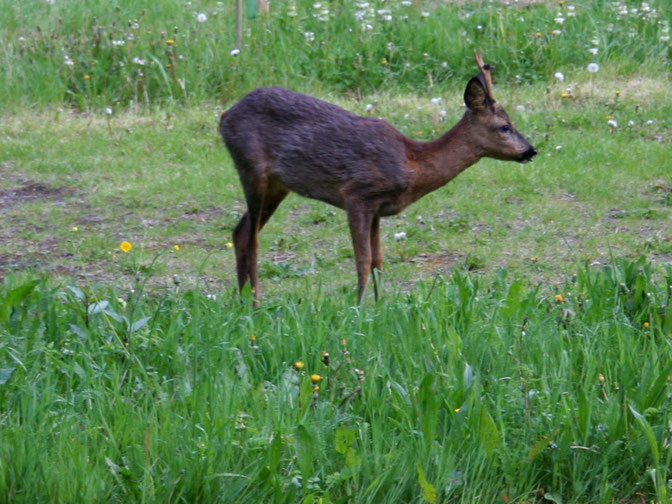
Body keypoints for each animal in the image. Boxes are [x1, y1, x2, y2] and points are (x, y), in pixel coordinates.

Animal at [219, 54, 536, 304]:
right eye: (504, 127)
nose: (531, 150)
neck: (414, 162)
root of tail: (224, 117)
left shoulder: (378, 210)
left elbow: (379, 261)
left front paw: (380, 306)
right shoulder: (358, 195)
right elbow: (363, 260)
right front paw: (359, 308)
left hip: (277, 185)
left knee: (240, 231)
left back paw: (243, 300)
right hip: (253, 169)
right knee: (252, 237)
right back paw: (255, 303)